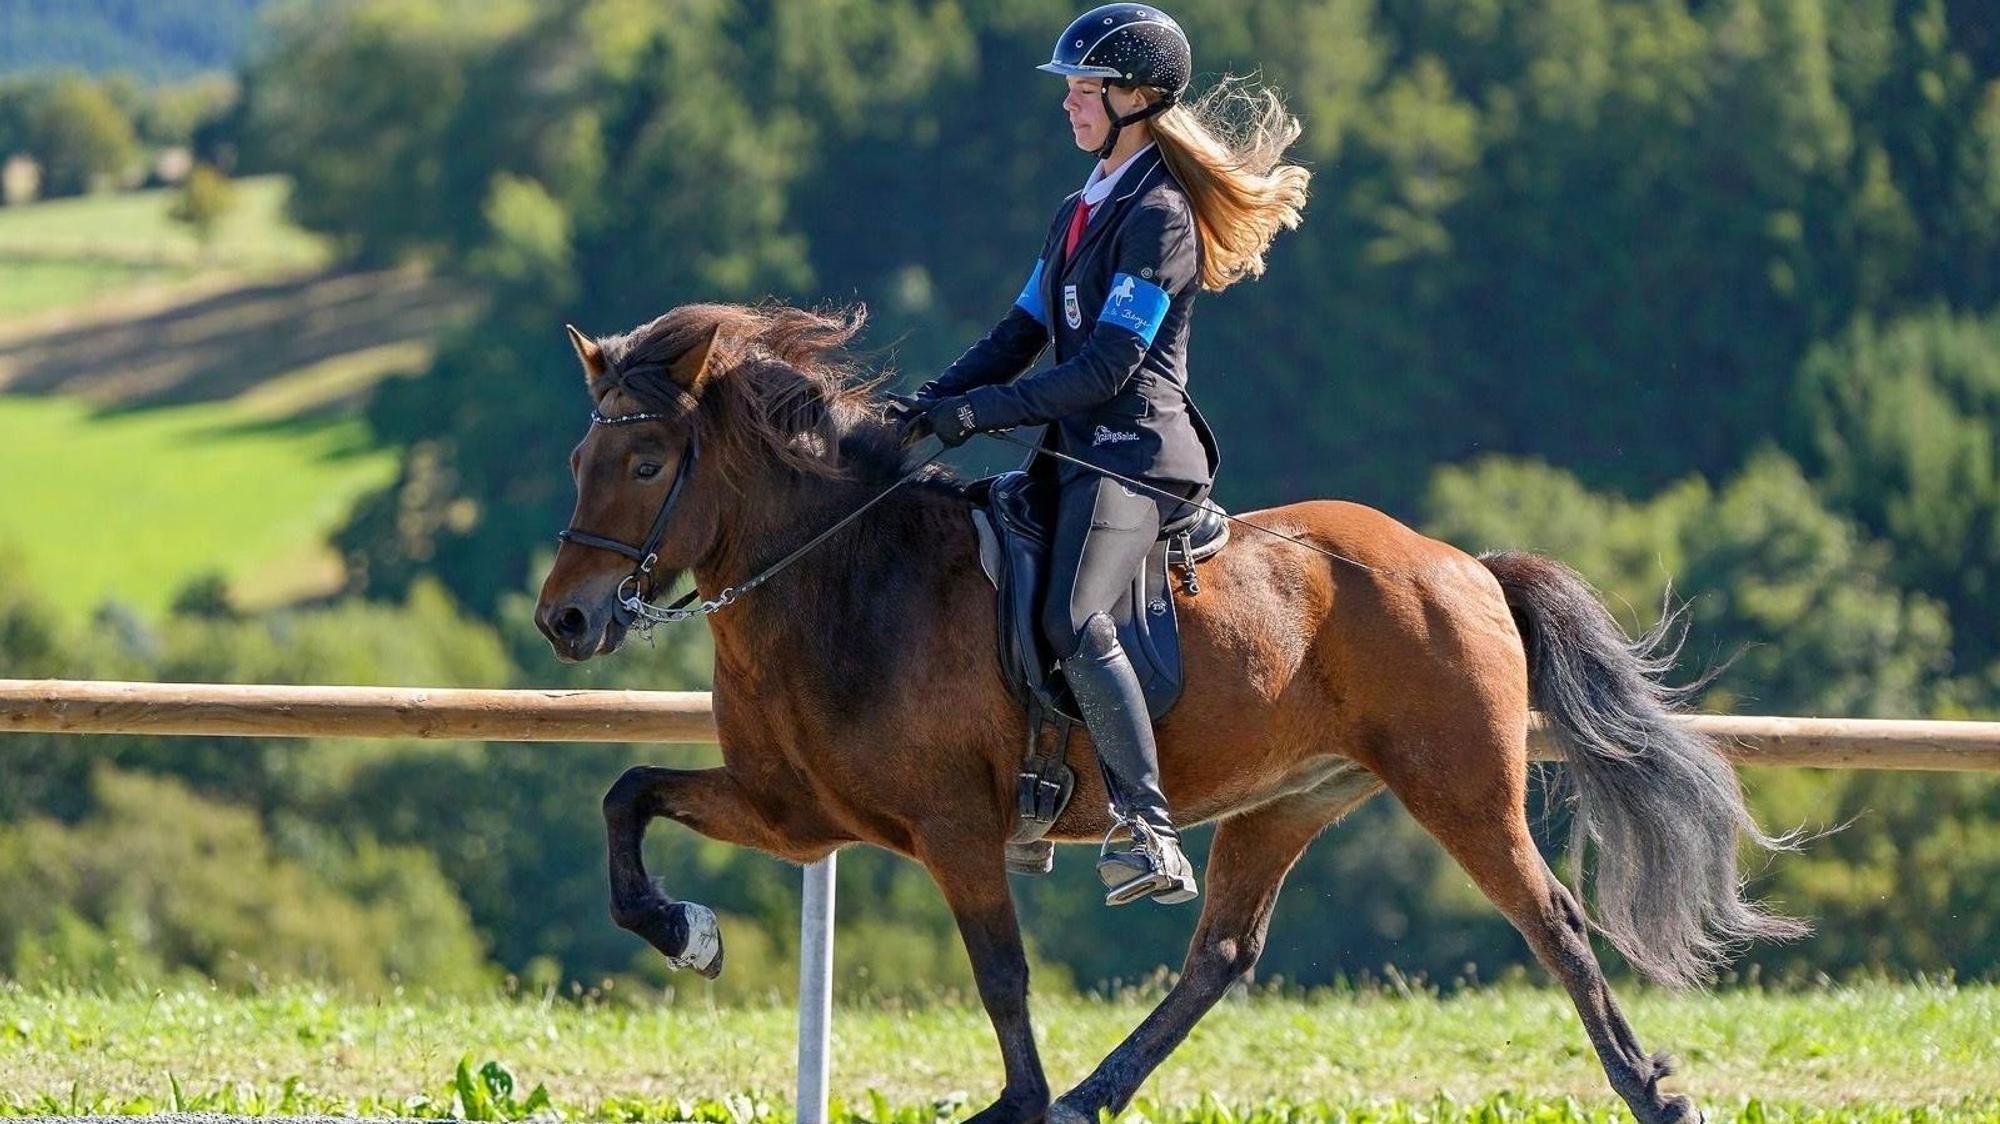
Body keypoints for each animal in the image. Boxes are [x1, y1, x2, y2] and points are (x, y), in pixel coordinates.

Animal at [534, 301, 1805, 1124]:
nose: (566, 620)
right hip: (1287, 799)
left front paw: (1014, 1101)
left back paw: (1655, 1092)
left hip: (1457, 785)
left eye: (646, 462)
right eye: (580, 455)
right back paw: (1095, 1093)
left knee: (1553, 920)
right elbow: (623, 797)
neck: (845, 575)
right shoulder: (798, 813)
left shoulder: (951, 827)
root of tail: (1460, 563)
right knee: (1221, 954)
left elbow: (1001, 971)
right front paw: (685, 931)